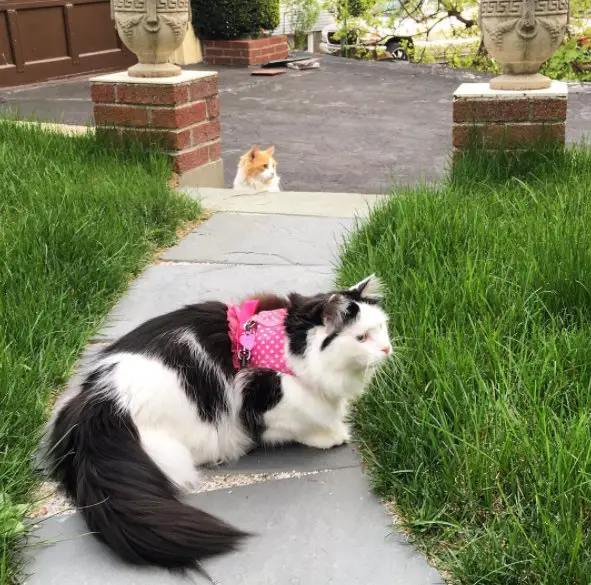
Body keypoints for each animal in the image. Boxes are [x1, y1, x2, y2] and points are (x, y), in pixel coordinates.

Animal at [41, 276, 394, 572]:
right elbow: (300, 422)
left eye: (382, 328)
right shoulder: (265, 398)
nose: (388, 348)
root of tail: (99, 398)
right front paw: (331, 434)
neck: (290, 346)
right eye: (362, 337)